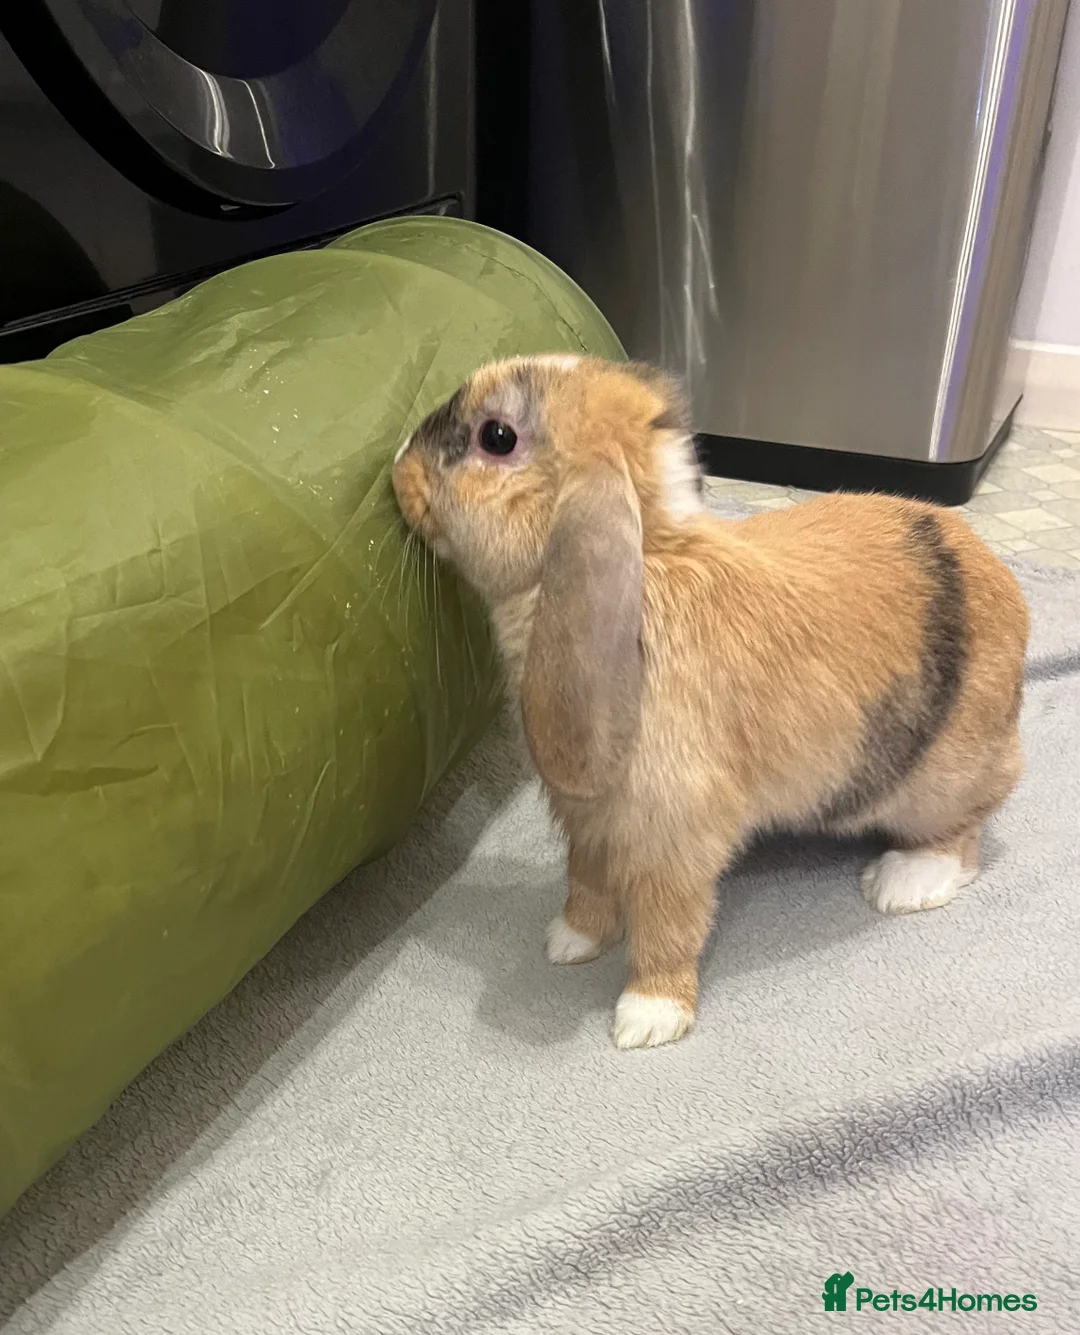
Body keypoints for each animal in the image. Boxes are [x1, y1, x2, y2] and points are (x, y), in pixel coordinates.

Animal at [392, 355, 1030, 1050]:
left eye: (498, 437)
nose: (397, 467)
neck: (646, 569)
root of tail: (1007, 591)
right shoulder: (590, 820)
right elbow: (585, 881)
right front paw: (569, 943)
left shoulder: (674, 834)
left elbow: (667, 924)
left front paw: (647, 1018)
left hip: (944, 778)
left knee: (964, 832)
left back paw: (902, 885)